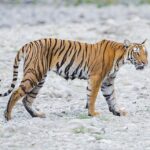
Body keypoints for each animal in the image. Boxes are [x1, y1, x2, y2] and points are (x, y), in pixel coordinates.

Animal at [0, 38, 148, 120]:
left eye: (146, 53)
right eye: (137, 53)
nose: (145, 63)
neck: (121, 59)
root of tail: (29, 44)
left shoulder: (108, 81)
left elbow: (111, 97)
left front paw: (117, 111)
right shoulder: (96, 77)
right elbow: (93, 97)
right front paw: (93, 113)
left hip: (39, 79)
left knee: (27, 99)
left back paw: (37, 115)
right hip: (34, 74)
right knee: (16, 93)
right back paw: (8, 116)